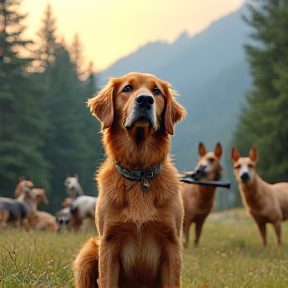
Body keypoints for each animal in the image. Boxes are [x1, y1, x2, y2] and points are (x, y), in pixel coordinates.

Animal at [73, 72, 187, 288]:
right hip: (88, 252)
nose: (145, 100)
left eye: (156, 91)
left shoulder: (172, 244)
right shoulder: (108, 243)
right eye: (127, 88)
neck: (139, 173)